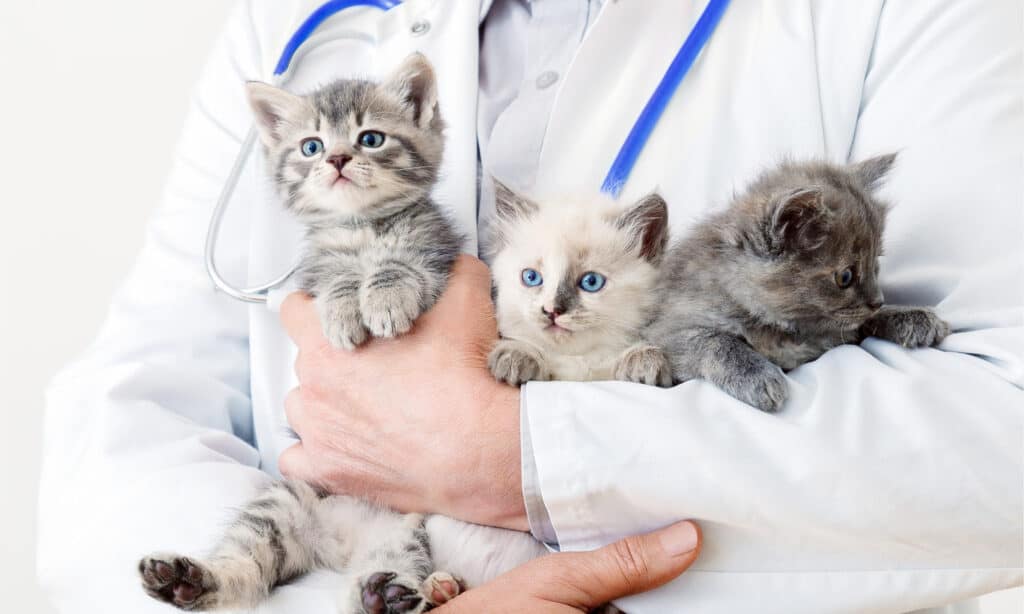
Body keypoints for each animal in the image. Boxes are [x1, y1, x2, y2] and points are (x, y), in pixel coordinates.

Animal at [247, 51, 460, 349]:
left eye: (371, 139)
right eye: (311, 147)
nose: (337, 158)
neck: (361, 226)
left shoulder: (436, 251)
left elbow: (400, 265)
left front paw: (387, 297)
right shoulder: (317, 268)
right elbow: (335, 277)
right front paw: (341, 306)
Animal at [647, 153, 950, 413]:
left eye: (875, 264)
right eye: (845, 277)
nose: (878, 300)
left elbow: (858, 323)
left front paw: (911, 316)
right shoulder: (667, 331)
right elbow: (717, 342)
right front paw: (756, 376)